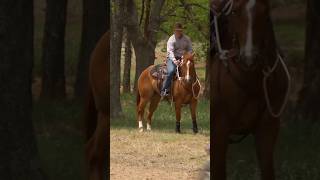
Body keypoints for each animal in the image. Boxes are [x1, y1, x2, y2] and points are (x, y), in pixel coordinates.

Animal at [211, 0, 292, 180]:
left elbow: (268, 171)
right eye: (234, 12)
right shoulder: (219, 131)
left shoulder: (268, 128)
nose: (249, 59)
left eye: (266, 12)